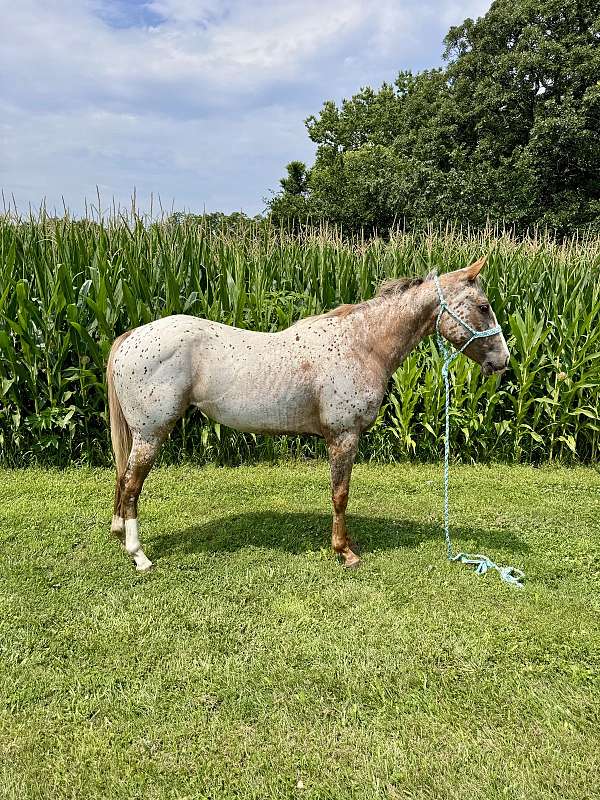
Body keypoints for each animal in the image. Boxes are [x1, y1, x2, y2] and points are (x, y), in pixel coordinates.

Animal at [106, 256, 506, 568]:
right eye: (484, 306)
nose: (502, 360)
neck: (361, 345)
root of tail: (131, 338)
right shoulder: (343, 437)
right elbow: (340, 495)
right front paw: (344, 552)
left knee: (123, 479)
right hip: (151, 435)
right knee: (131, 485)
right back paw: (138, 554)